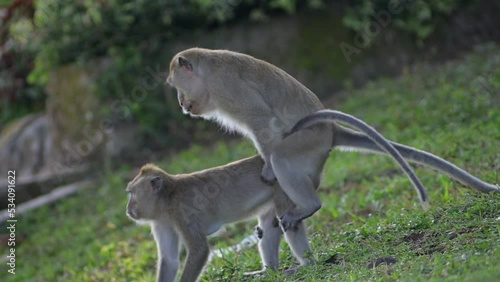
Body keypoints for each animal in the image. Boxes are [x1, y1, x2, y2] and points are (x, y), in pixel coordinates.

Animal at [125, 159, 312, 282]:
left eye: (131, 194)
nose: (128, 208)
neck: (168, 199)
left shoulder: (184, 214)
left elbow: (199, 250)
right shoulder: (161, 222)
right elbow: (169, 260)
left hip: (285, 185)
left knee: (289, 220)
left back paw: (307, 264)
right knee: (268, 226)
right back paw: (268, 271)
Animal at [166, 48, 498, 229]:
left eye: (178, 86)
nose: (180, 103)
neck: (209, 74)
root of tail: (331, 131)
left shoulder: (229, 88)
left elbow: (261, 120)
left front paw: (267, 169)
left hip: (307, 141)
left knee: (282, 155)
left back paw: (308, 203)